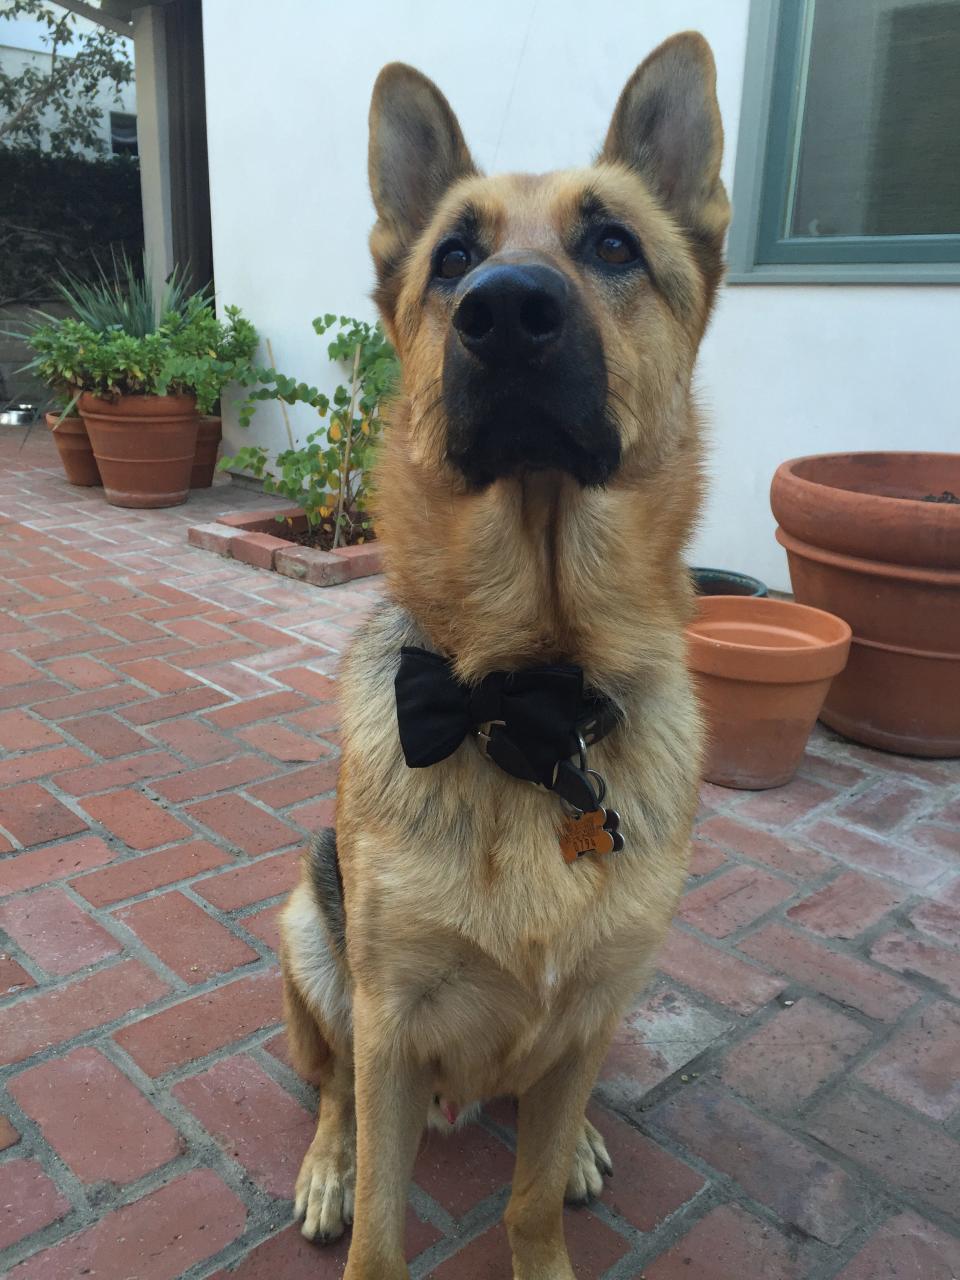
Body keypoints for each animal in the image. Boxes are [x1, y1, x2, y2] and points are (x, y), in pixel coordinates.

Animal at [281, 32, 732, 1280]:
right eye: (454, 258)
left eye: (613, 245)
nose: (506, 310)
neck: (528, 698)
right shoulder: (390, 1025)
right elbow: (381, 1230)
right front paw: (356, 1195)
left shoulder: (588, 1011)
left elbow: (527, 1200)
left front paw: (549, 1208)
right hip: (313, 941)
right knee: (331, 1086)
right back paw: (328, 1163)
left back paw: (573, 1143)